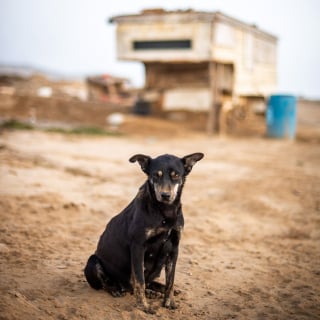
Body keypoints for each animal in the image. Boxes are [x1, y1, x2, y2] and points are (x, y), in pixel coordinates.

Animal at [84, 152, 204, 312]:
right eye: (156, 175)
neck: (165, 211)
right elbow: (139, 280)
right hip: (92, 262)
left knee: (149, 283)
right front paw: (143, 307)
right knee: (112, 284)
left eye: (176, 175)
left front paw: (169, 302)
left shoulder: (174, 248)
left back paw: (155, 291)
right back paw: (116, 289)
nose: (165, 195)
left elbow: (170, 280)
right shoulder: (138, 247)